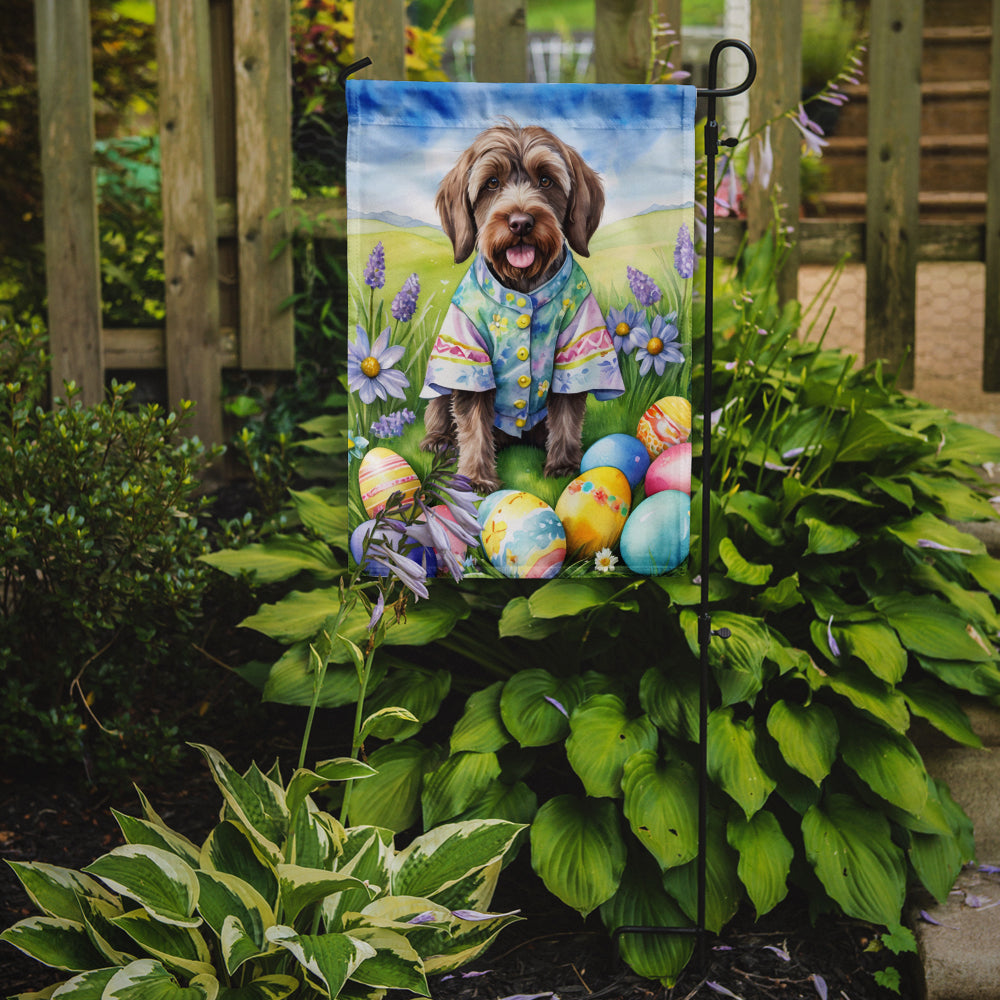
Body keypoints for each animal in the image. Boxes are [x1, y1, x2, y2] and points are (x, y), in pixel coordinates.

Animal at [416, 119, 620, 494]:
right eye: (492, 183)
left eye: (546, 180)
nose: (521, 222)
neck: (523, 284)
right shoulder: (469, 353)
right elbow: (472, 424)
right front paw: (476, 478)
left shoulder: (575, 347)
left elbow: (567, 415)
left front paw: (563, 465)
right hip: (441, 373)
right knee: (439, 406)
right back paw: (439, 441)